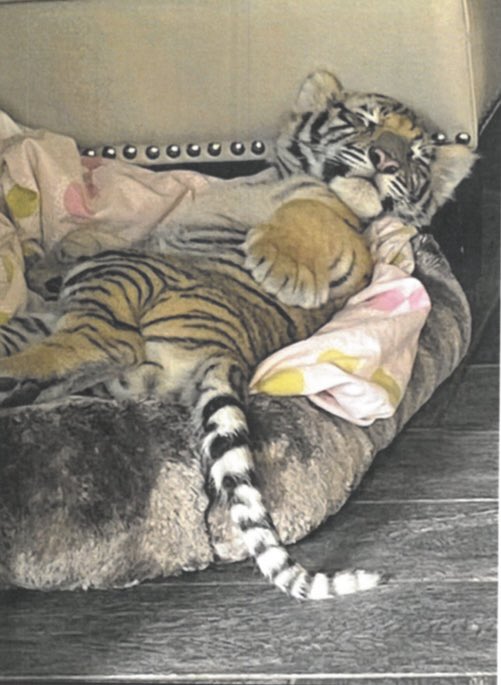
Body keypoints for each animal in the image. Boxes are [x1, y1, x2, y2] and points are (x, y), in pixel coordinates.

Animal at [0, 69, 475, 600]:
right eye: (361, 121)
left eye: (416, 156)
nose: (387, 160)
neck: (278, 174)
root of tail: (227, 352)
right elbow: (116, 233)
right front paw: (52, 257)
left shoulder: (347, 238)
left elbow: (314, 213)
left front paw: (281, 269)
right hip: (61, 328)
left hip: (116, 274)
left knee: (107, 343)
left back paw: (7, 371)